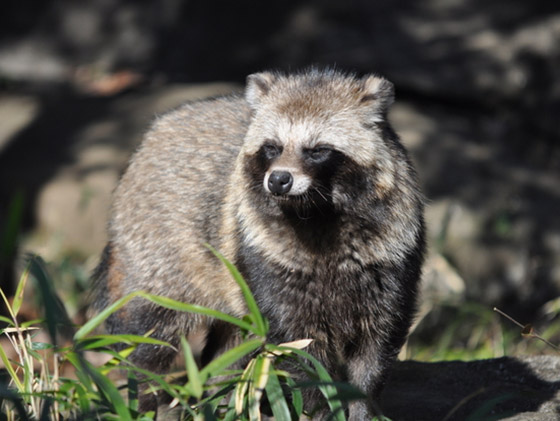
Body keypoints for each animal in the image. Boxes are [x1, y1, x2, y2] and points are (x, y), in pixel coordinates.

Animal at [91, 68, 424, 416]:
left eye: (318, 149)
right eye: (272, 147)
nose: (279, 179)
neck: (316, 212)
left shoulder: (390, 256)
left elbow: (377, 344)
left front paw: (364, 407)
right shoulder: (267, 256)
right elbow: (299, 347)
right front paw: (318, 409)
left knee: (230, 348)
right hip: (158, 255)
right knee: (149, 335)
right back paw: (145, 395)